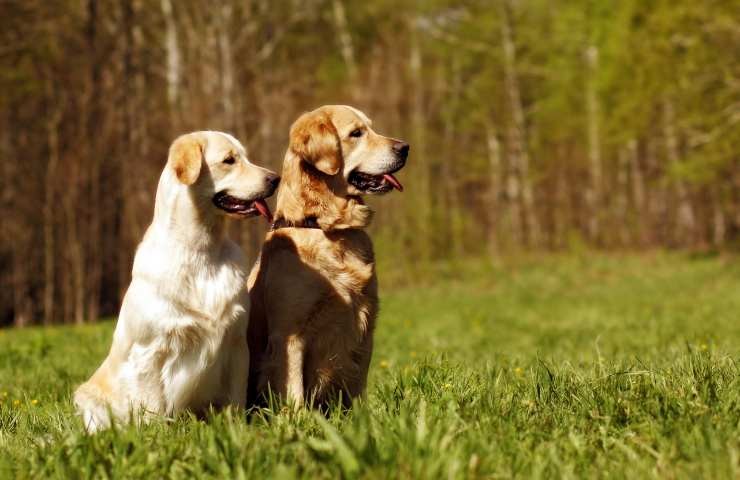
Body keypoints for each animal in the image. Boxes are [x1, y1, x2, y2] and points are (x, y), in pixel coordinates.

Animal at [74, 131, 278, 432]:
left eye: (246, 157)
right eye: (229, 160)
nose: (275, 179)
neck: (200, 250)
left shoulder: (237, 343)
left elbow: (235, 399)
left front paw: (236, 430)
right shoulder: (151, 351)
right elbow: (153, 405)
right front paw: (157, 435)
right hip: (88, 398)